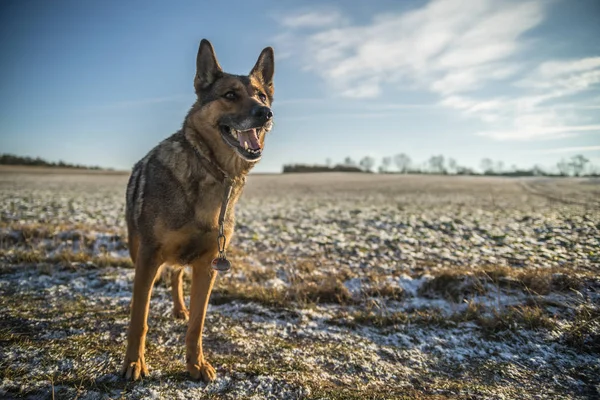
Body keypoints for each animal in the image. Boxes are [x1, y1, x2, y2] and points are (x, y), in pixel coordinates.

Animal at [122, 39, 276, 382]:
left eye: (261, 95)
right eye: (230, 95)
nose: (265, 113)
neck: (213, 171)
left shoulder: (207, 266)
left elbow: (197, 324)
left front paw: (196, 364)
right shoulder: (149, 256)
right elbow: (139, 318)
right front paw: (134, 363)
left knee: (176, 274)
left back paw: (180, 309)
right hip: (136, 248)